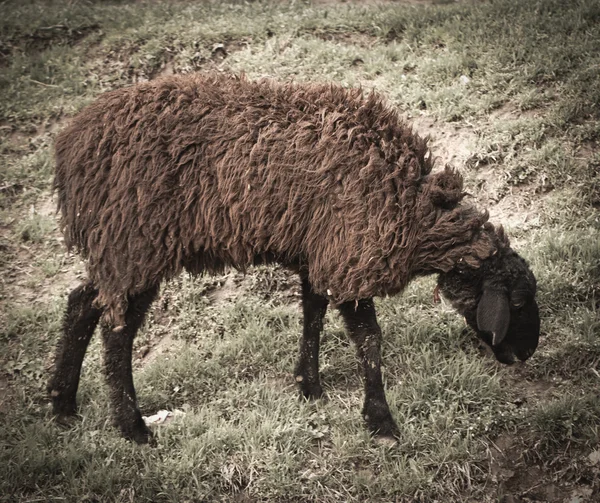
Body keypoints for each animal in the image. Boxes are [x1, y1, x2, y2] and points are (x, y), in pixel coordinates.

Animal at [49, 72, 540, 444]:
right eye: (516, 303)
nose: (525, 354)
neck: (414, 208)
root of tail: (70, 147)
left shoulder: (320, 255)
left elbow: (312, 316)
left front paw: (309, 386)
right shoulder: (349, 255)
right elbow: (369, 341)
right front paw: (381, 422)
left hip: (118, 249)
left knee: (82, 302)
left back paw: (62, 405)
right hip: (134, 244)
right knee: (117, 334)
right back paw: (132, 429)